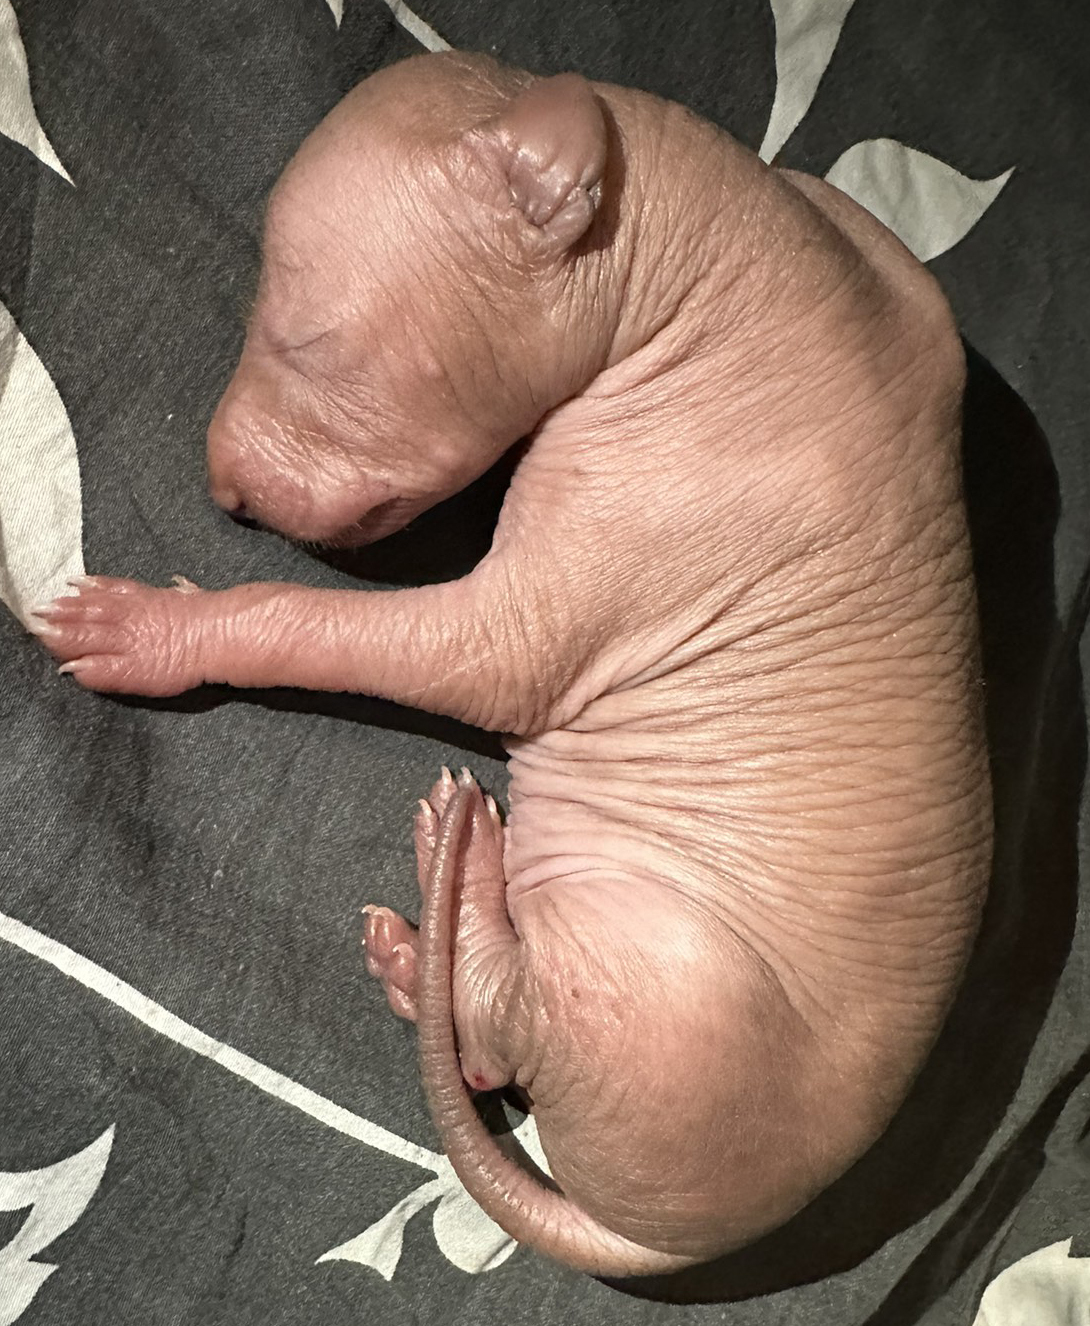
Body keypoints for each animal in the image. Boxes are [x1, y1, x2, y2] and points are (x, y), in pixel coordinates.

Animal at [32, 53, 992, 1276]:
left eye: (307, 342)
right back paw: (424, 951)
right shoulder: (897, 283)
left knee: (497, 1020)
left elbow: (345, 629)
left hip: (670, 980)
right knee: (487, 1053)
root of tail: (664, 1236)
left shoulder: (593, 572)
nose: (224, 491)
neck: (720, 252)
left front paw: (151, 629)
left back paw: (462, 871)